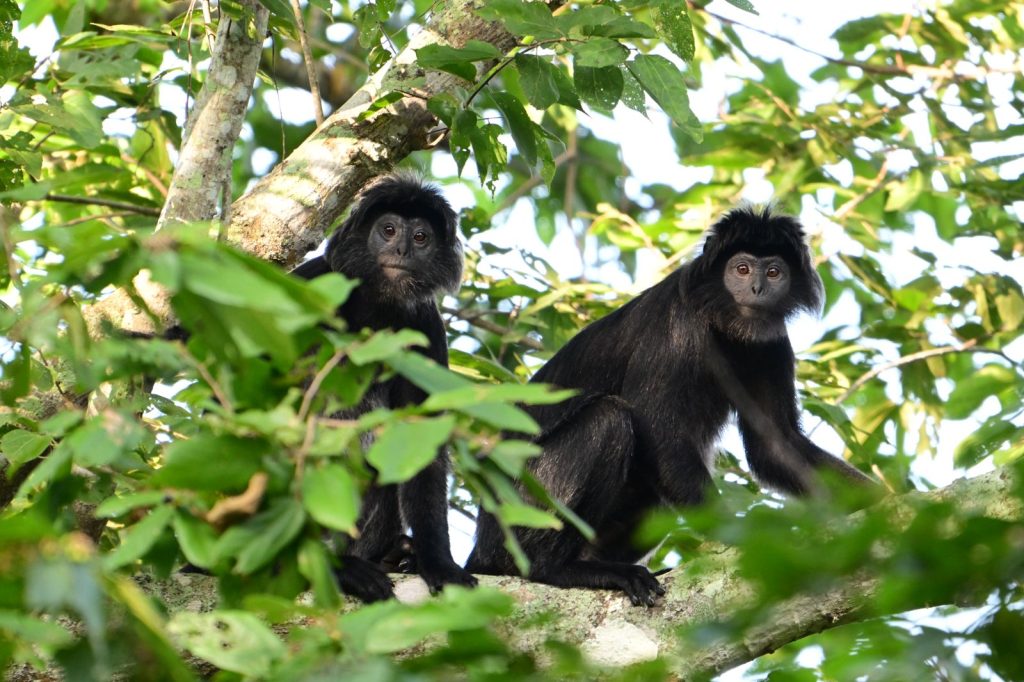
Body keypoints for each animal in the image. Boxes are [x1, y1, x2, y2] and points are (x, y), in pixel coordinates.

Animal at [293, 173, 476, 602]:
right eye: (388, 230)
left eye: (421, 237)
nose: (401, 248)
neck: (376, 305)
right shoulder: (313, 278)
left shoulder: (427, 328)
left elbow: (420, 440)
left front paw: (438, 563)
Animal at [465, 206, 875, 606]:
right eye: (742, 269)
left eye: (774, 272)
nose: (757, 288)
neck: (719, 318)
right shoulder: (674, 324)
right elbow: (658, 429)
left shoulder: (771, 344)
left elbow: (774, 446)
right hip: (520, 507)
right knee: (609, 419)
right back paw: (556, 568)